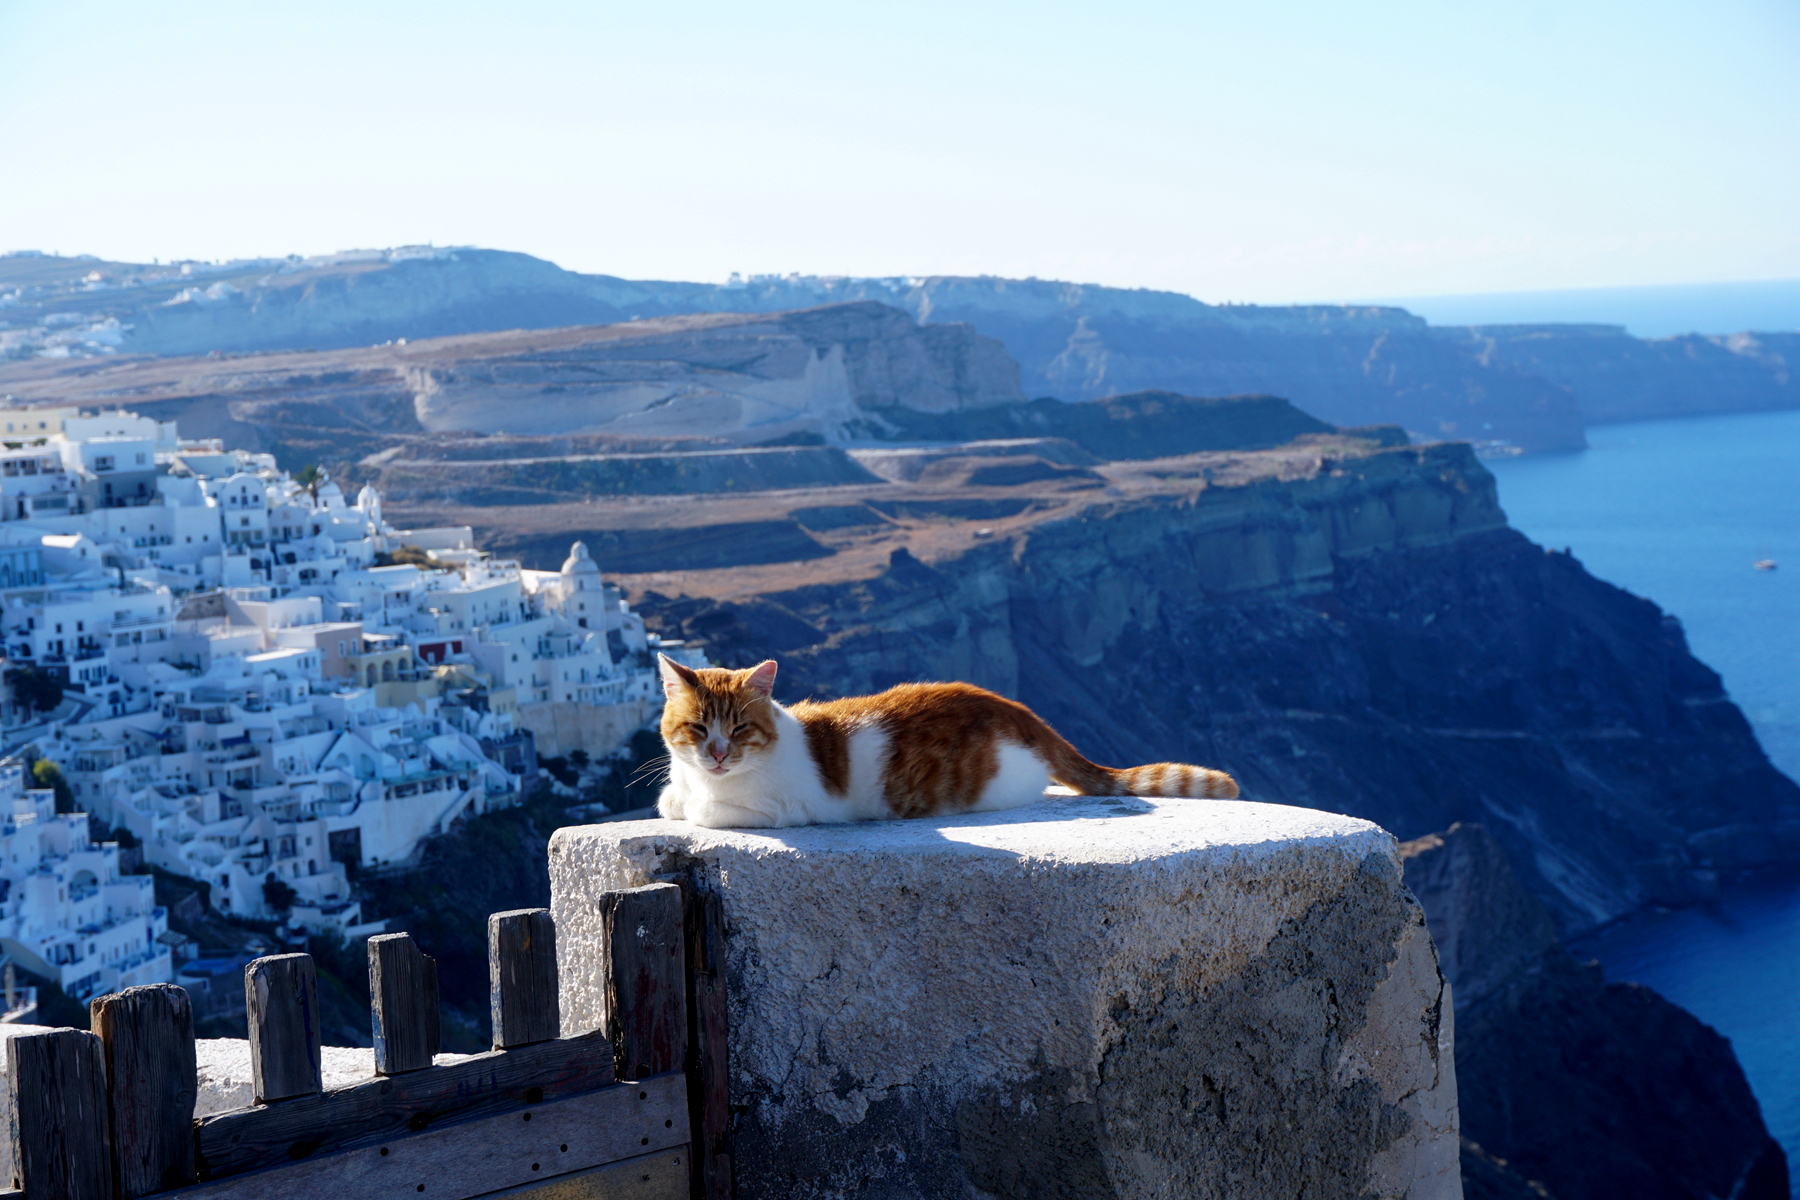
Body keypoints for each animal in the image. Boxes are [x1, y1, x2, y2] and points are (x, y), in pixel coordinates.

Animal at [658, 651, 1238, 831]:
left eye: (739, 729)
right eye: (698, 729)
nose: (717, 755)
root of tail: (1018, 711)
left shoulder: (784, 809)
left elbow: (703, 813)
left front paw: (695, 807)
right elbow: (669, 800)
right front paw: (675, 797)